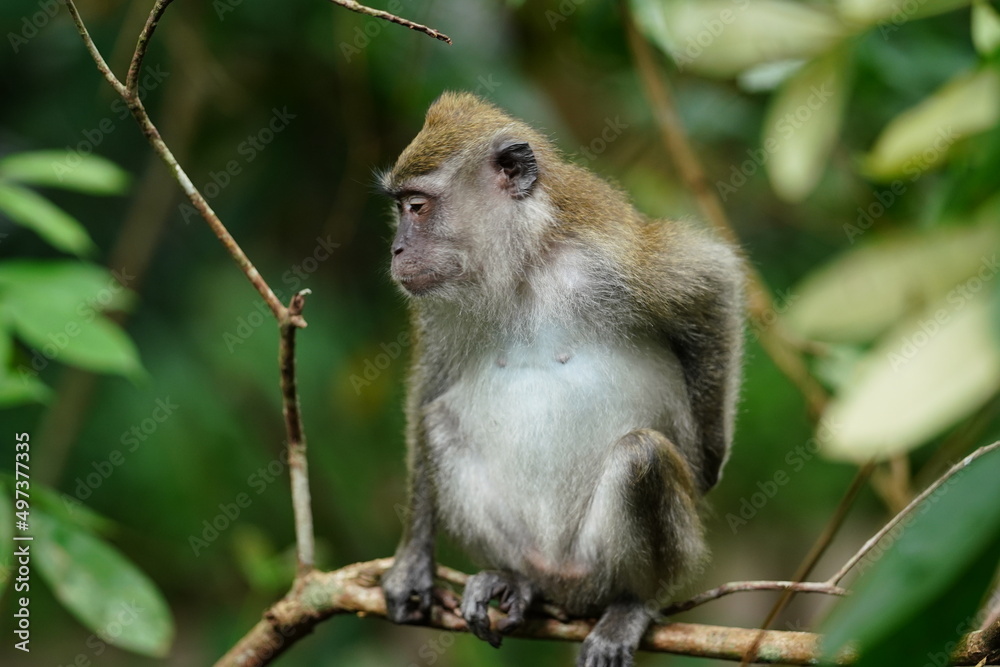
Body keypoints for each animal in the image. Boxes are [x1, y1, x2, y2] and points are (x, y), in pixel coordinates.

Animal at [378, 91, 744, 667]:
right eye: (399, 207)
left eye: (416, 206)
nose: (396, 250)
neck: (523, 267)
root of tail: (568, 588)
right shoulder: (440, 308)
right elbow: (429, 391)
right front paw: (413, 562)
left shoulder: (614, 257)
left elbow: (715, 283)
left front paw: (706, 462)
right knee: (437, 423)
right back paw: (516, 582)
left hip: (605, 559)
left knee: (643, 456)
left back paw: (632, 604)